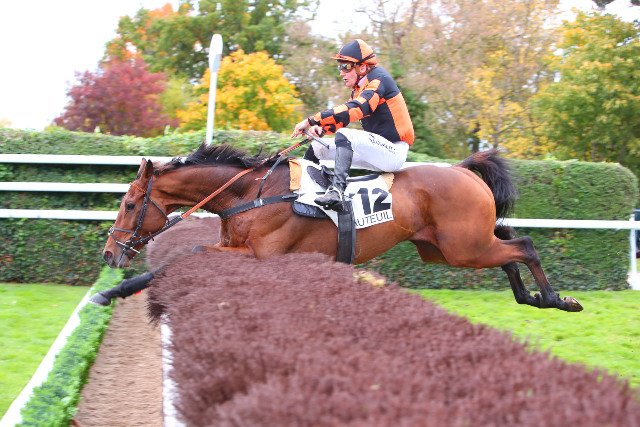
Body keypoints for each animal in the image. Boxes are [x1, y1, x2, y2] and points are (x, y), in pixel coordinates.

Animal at [101, 142, 583, 312]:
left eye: (129, 204)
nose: (109, 253)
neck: (250, 194)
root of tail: (464, 169)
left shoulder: (260, 255)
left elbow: (185, 257)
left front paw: (113, 291)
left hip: (463, 247)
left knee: (525, 245)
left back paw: (555, 299)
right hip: (449, 247)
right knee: (509, 247)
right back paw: (530, 297)